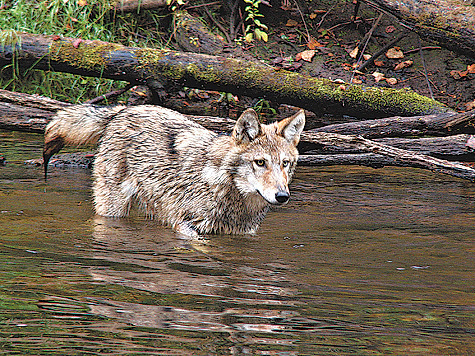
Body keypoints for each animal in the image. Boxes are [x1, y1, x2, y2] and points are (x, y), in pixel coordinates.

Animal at [44, 103, 304, 236]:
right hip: (112, 207)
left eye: (284, 163)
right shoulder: (185, 225)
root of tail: (123, 110)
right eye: (260, 162)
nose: (282, 196)